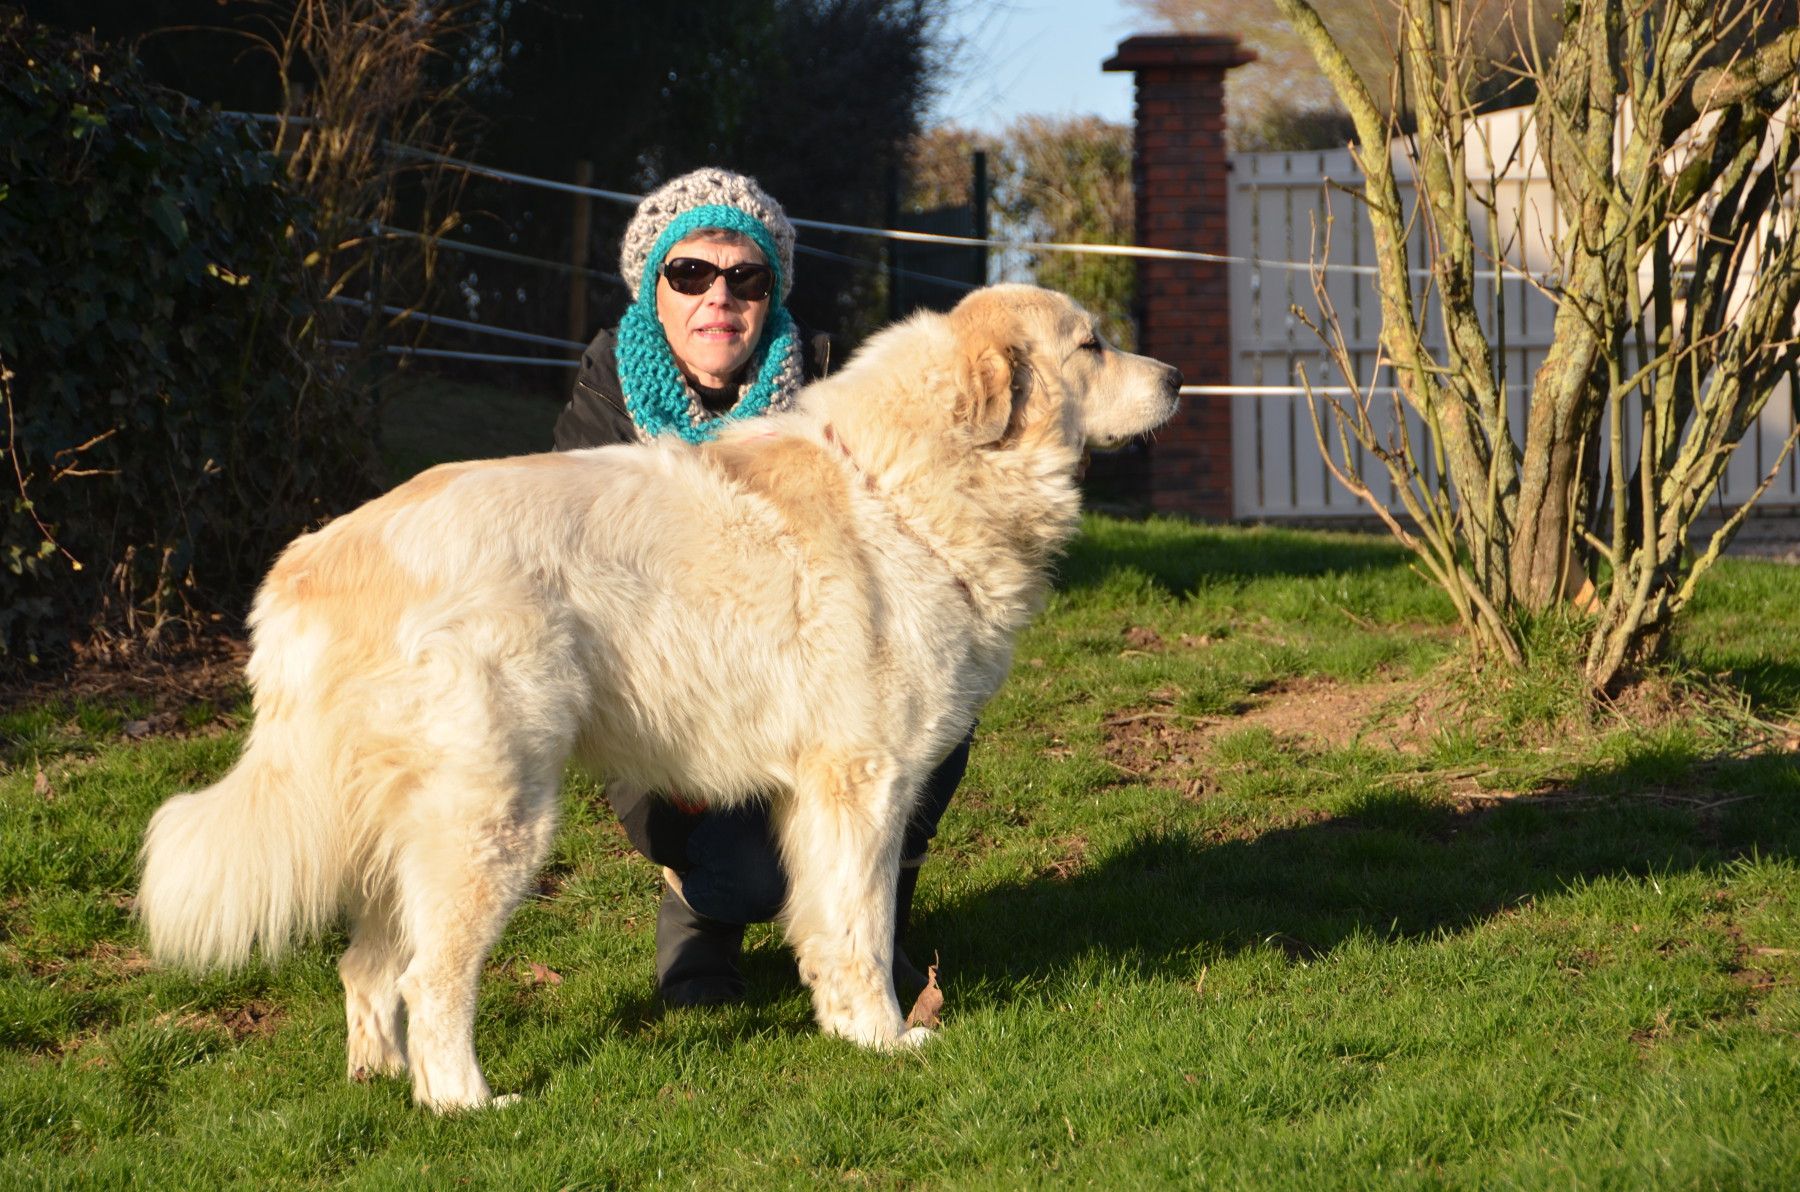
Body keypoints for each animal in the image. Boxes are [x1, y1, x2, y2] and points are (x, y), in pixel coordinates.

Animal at [140, 284, 1180, 1116]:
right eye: (1090, 344)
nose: (1174, 378)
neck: (908, 484)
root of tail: (315, 561)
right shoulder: (865, 784)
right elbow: (862, 926)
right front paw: (887, 1038)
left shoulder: (820, 795)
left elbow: (828, 926)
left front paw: (846, 1031)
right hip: (493, 820)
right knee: (433, 979)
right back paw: (466, 1103)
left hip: (412, 830)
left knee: (367, 967)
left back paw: (380, 1080)